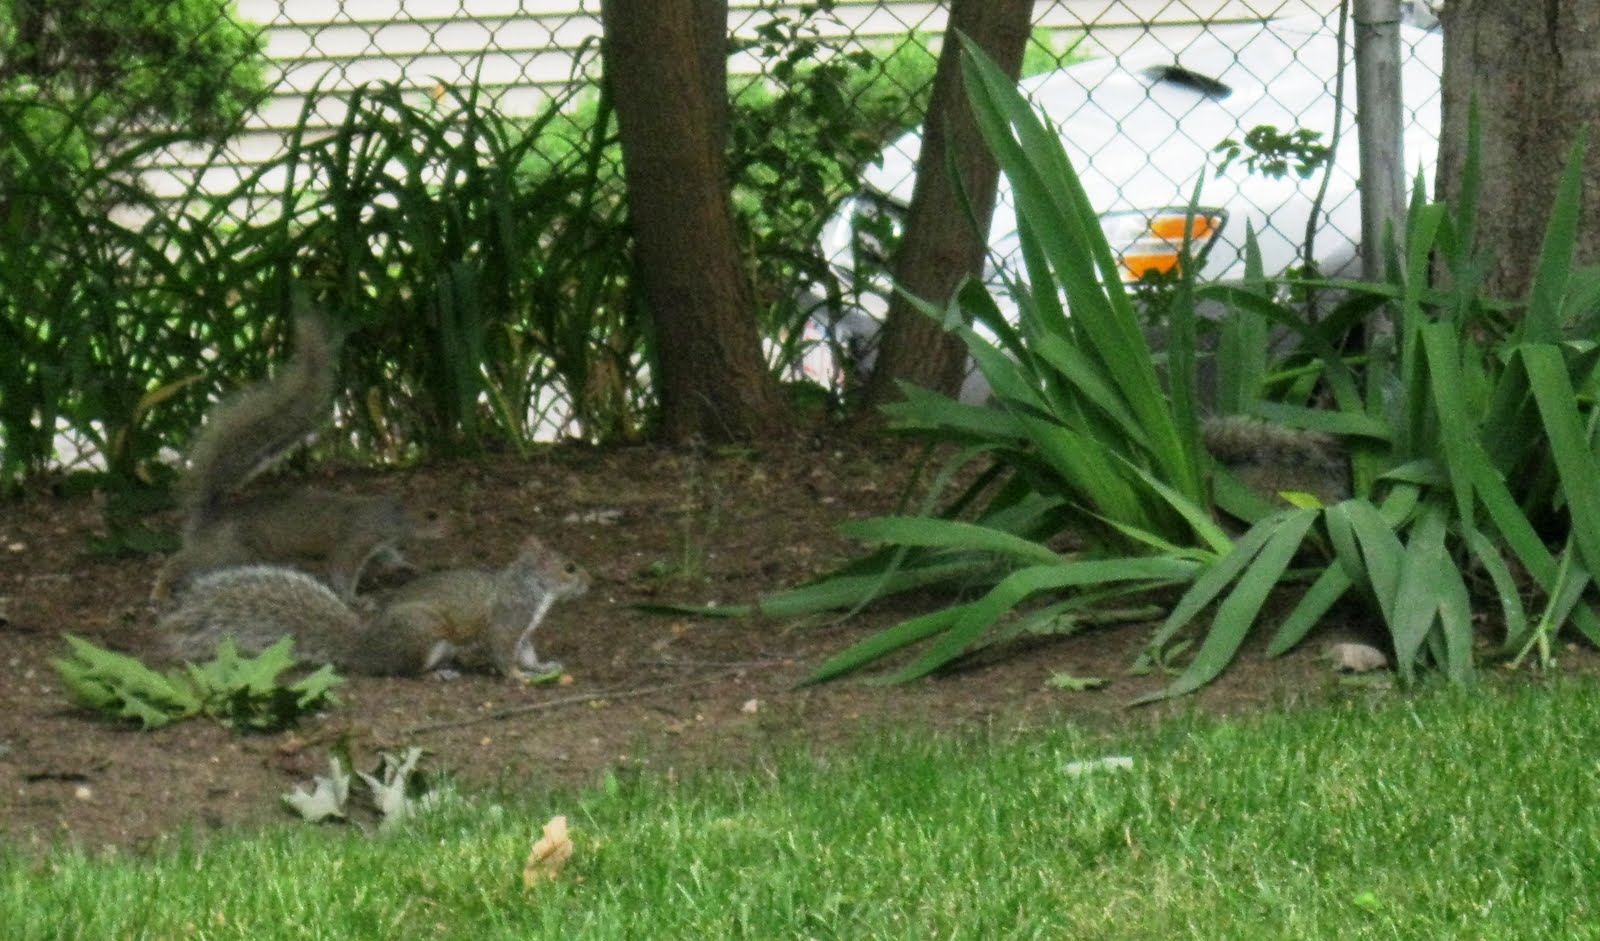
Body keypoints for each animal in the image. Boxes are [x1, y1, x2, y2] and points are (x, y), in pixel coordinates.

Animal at [152, 316, 441, 603]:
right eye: (430, 515)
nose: (445, 528)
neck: (388, 515)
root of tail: (206, 518)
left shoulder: (379, 544)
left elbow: (387, 558)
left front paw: (405, 565)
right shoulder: (357, 537)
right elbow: (342, 570)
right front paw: (355, 599)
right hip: (226, 552)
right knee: (181, 562)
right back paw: (161, 589)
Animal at [159, 535, 591, 678]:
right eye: (569, 567)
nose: (590, 581)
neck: (533, 588)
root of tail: (365, 647)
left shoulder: (526, 631)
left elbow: (528, 652)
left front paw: (543, 667)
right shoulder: (507, 620)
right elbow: (502, 652)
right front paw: (517, 677)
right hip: (425, 634)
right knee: (405, 670)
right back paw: (439, 674)